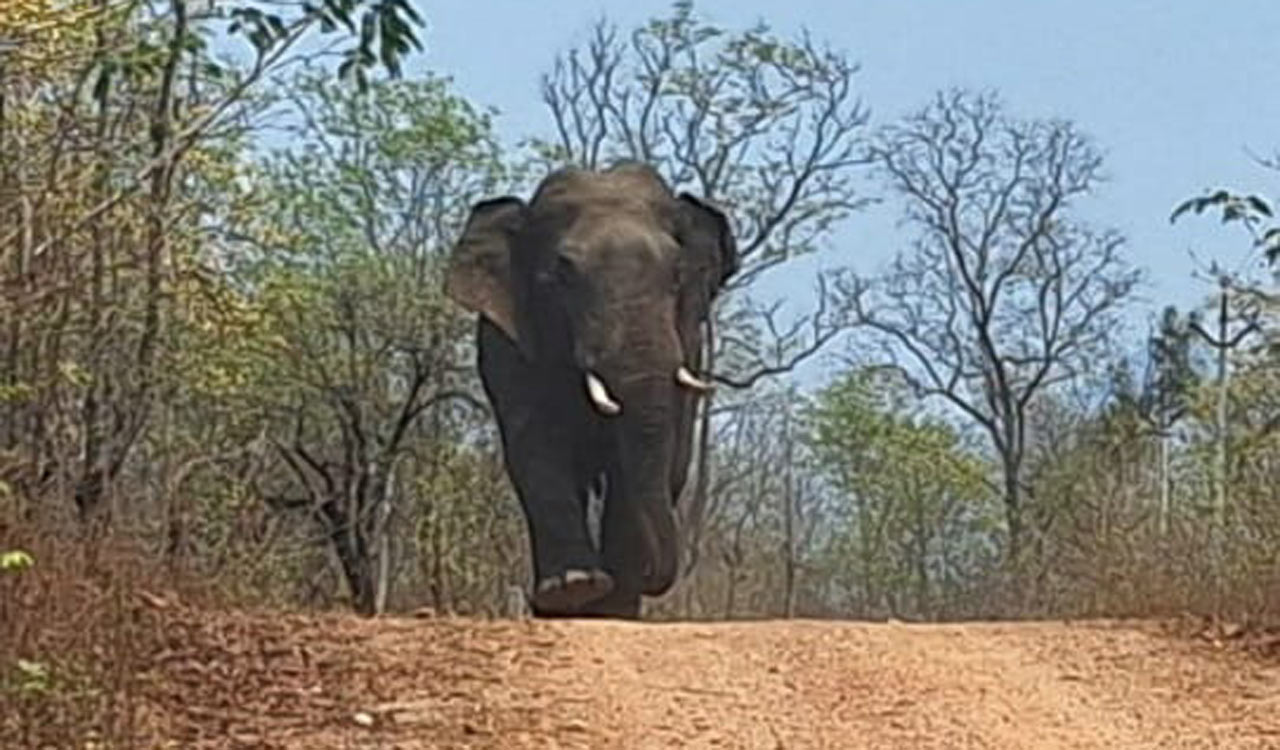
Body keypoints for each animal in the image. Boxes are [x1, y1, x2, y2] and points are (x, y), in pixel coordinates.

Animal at [444, 162, 738, 618]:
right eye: (561, 276)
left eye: (677, 276)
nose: (651, 576)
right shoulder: (508, 346)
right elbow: (536, 444)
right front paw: (575, 588)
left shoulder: (689, 344)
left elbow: (647, 458)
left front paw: (613, 602)